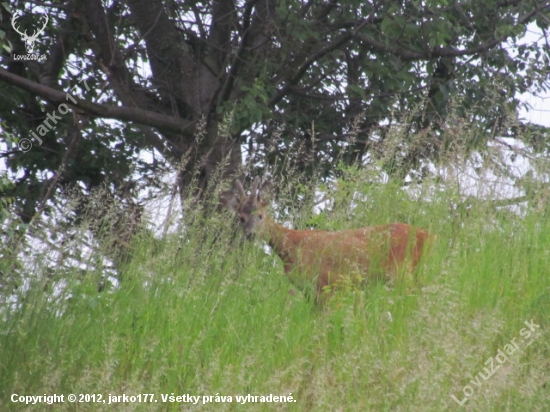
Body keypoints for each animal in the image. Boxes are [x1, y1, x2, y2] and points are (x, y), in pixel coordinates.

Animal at [222, 175, 434, 300]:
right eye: (241, 218)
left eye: (260, 215)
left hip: (400, 272)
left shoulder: (327, 284)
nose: (249, 234)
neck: (290, 247)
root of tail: (428, 235)